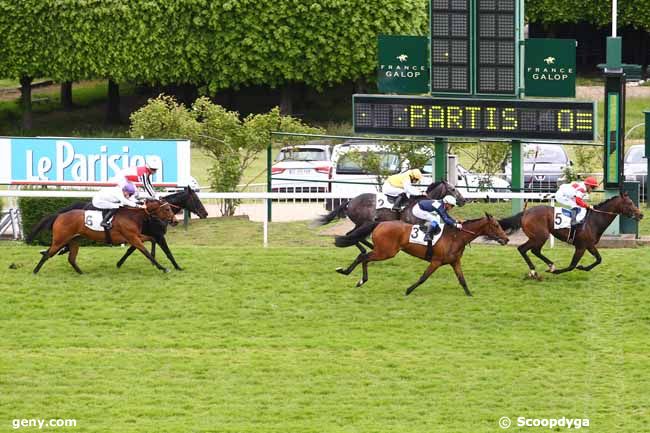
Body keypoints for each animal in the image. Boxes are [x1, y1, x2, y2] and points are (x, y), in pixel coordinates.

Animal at [33, 199, 177, 274]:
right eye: (167, 209)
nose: (175, 221)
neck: (132, 215)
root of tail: (59, 216)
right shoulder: (133, 238)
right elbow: (145, 252)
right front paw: (163, 268)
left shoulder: (135, 236)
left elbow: (152, 239)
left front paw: (155, 257)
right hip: (60, 240)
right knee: (48, 254)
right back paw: (35, 271)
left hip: (74, 240)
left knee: (71, 259)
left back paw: (82, 273)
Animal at [316, 180, 464, 253]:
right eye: (453, 189)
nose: (463, 200)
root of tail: (350, 201)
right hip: (363, 222)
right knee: (353, 234)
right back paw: (367, 249)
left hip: (362, 223)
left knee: (353, 234)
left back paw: (368, 248)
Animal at [334, 214, 506, 296]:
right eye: (496, 225)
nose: (506, 239)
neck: (456, 236)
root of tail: (380, 223)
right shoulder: (436, 262)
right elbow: (424, 278)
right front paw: (408, 290)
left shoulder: (455, 262)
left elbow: (462, 280)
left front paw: (470, 295)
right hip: (386, 252)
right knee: (363, 257)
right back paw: (350, 274)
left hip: (383, 251)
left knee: (364, 258)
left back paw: (359, 279)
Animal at [496, 192, 644, 278]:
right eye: (630, 203)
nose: (641, 214)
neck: (594, 220)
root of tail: (525, 213)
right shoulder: (581, 246)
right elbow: (572, 265)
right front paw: (561, 271)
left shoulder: (589, 245)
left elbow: (599, 259)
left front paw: (583, 267)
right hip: (540, 236)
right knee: (524, 249)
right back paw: (535, 271)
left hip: (538, 237)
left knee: (534, 251)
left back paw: (550, 266)